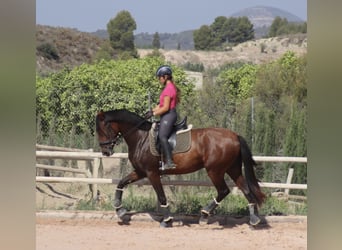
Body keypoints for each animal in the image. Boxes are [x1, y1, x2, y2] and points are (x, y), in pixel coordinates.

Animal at [95, 108, 266, 228]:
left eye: (101, 129)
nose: (105, 152)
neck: (140, 137)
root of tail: (235, 135)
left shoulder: (151, 173)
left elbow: (161, 196)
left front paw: (167, 220)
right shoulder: (141, 171)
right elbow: (122, 182)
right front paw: (120, 209)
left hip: (215, 171)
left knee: (224, 190)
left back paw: (204, 215)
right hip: (232, 169)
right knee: (246, 189)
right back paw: (254, 219)